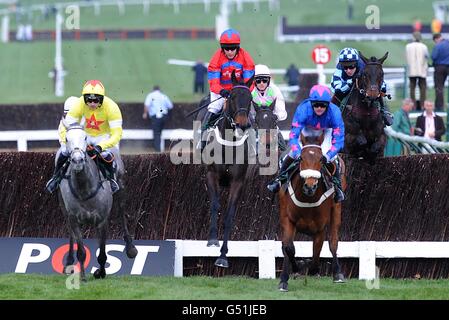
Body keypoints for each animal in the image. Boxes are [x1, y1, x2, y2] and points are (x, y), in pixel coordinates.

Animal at [201, 70, 254, 268]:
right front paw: (212, 240)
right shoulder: (211, 175)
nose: (242, 124)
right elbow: (215, 205)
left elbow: (230, 215)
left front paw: (223, 256)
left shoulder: (237, 182)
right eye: (231, 96)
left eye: (250, 98)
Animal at [276, 127, 346, 292]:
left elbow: (317, 251)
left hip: (337, 209)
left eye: (321, 159)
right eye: (301, 158)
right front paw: (286, 278)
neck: (307, 198)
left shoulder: (319, 227)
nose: (310, 186)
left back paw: (337, 274)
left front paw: (311, 268)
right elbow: (288, 247)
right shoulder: (288, 219)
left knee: (333, 242)